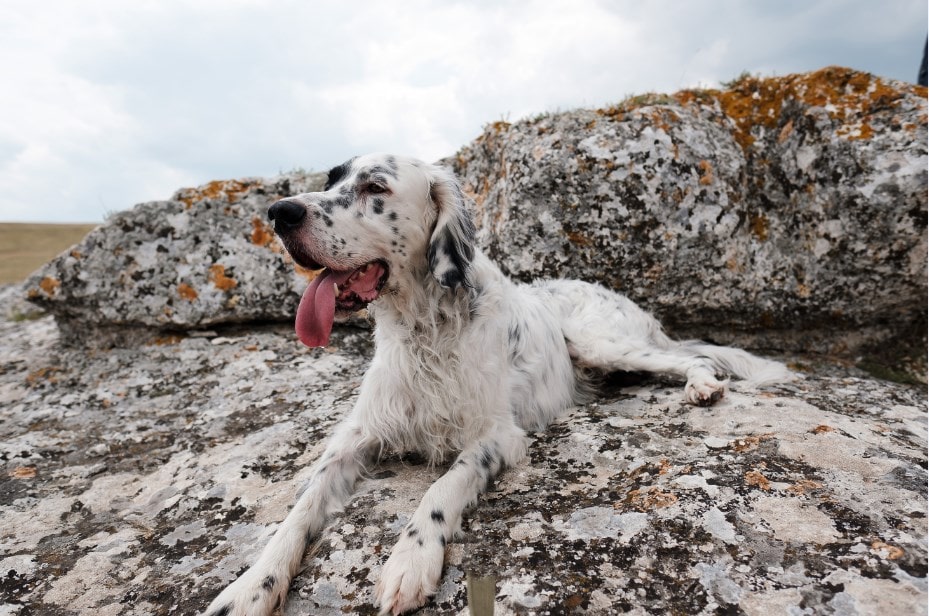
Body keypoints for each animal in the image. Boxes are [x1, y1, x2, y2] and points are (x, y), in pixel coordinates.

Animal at [205, 152, 792, 612]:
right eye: (330, 181)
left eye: (375, 187)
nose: (280, 213)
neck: (426, 329)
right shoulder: (355, 436)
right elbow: (299, 512)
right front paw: (250, 587)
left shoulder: (497, 435)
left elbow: (443, 487)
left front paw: (410, 560)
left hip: (602, 340)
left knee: (690, 359)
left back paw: (702, 386)